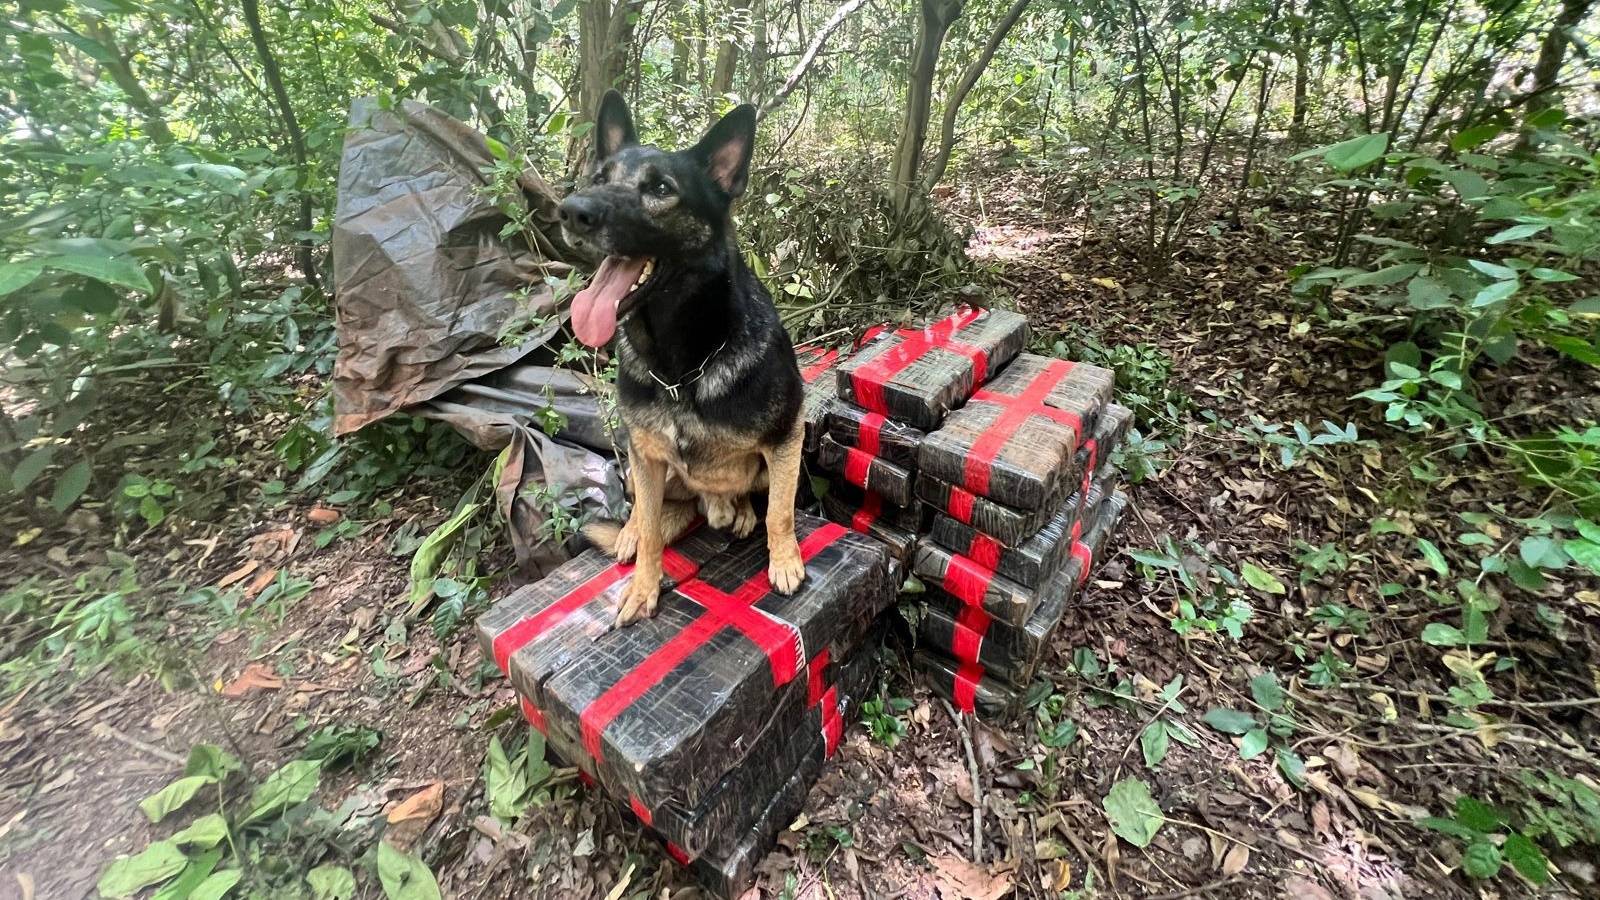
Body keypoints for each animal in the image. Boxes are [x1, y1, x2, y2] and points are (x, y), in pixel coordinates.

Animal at [563, 89, 812, 624]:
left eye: (660, 188)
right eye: (599, 179)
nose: (570, 210)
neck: (680, 367)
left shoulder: (786, 440)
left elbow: (780, 512)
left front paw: (784, 561)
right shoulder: (647, 456)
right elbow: (653, 533)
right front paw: (643, 586)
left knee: (749, 498)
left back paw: (738, 512)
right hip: (636, 462)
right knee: (645, 511)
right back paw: (632, 532)